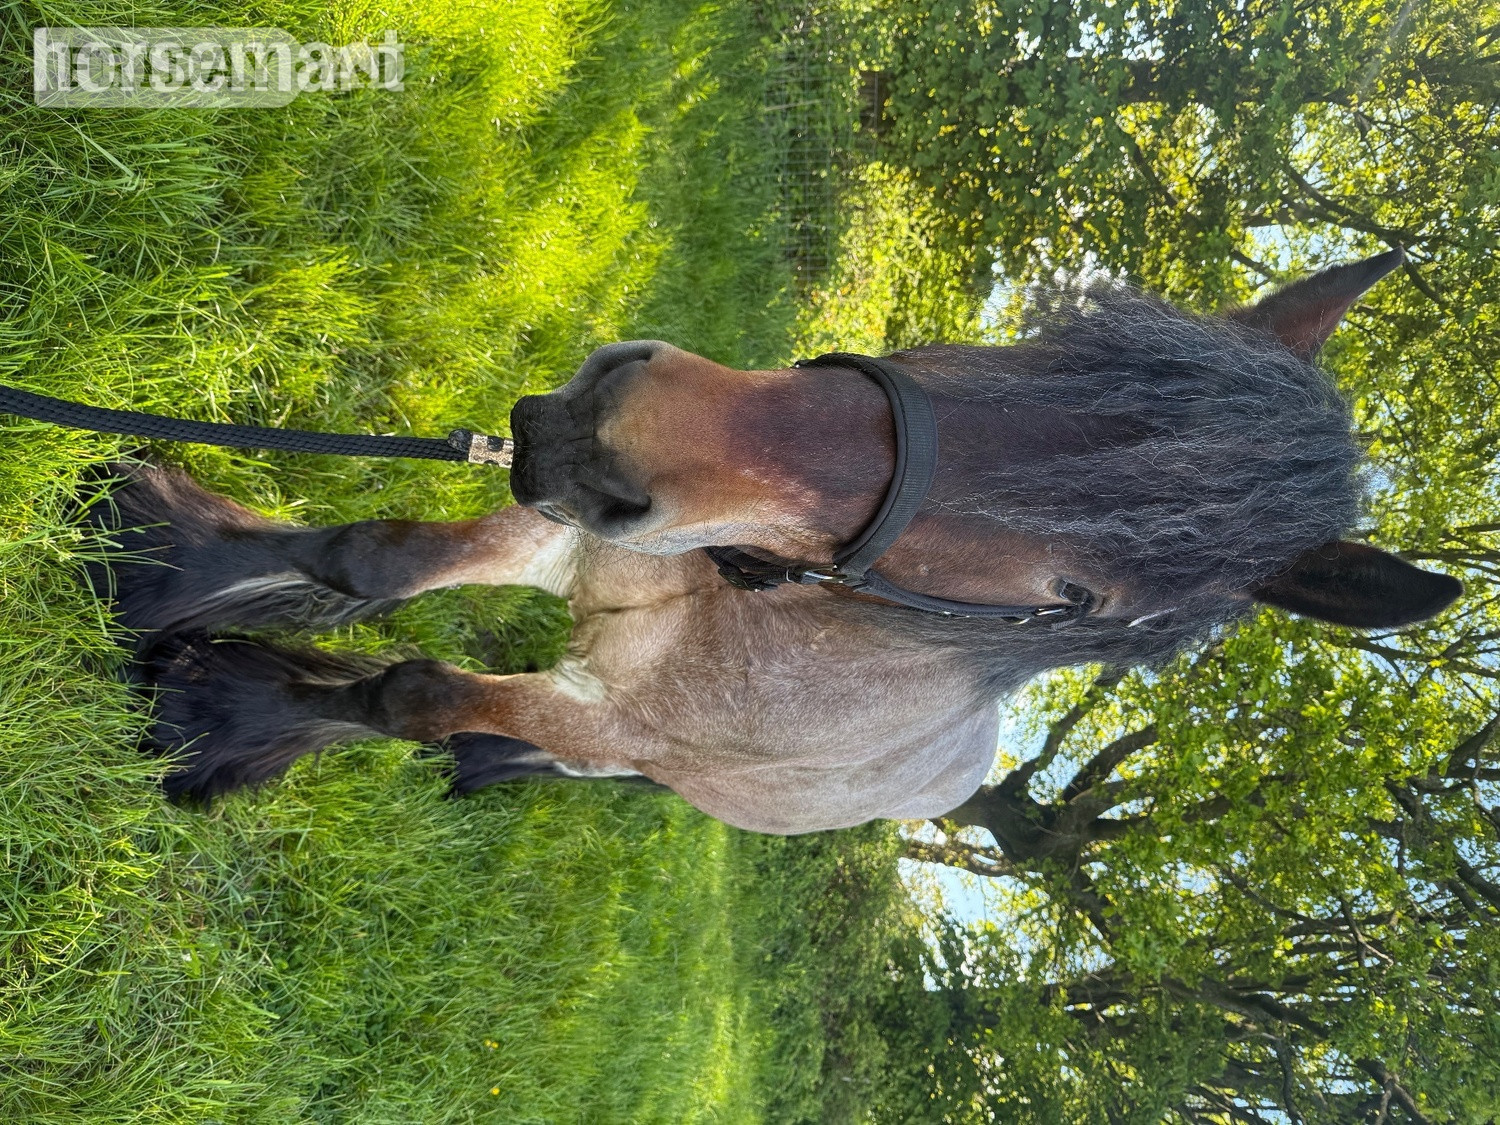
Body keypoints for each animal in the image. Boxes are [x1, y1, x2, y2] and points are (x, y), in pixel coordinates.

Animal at [86, 250, 1461, 834]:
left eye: (1078, 594)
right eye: (1051, 347)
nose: (615, 428)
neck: (737, 599)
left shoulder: (618, 722)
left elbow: (408, 693)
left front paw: (225, 720)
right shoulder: (566, 536)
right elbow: (370, 562)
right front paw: (161, 562)